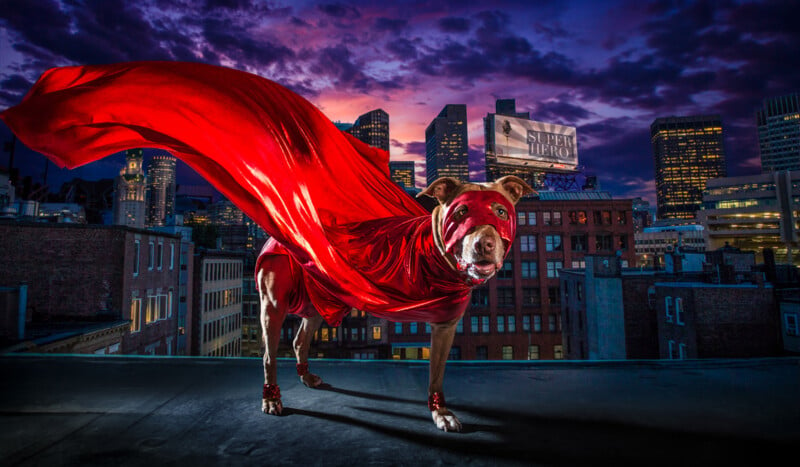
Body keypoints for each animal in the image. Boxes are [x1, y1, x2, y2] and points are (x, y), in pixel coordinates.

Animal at [258, 176, 532, 432]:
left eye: (501, 212)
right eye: (461, 212)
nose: (483, 244)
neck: (436, 254)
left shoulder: (446, 326)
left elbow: (436, 375)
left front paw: (439, 411)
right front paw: (441, 413)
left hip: (317, 303)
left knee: (299, 340)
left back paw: (305, 375)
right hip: (274, 305)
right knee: (269, 355)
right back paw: (271, 397)